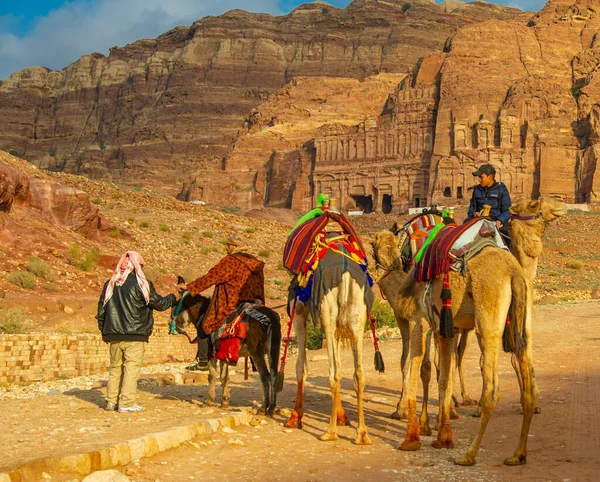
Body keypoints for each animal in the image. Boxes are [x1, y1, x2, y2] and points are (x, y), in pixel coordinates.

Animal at [284, 252, 372, 444]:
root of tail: (345, 277)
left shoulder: (299, 310)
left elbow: (301, 366)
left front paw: (295, 417)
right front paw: (342, 417)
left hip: (328, 315)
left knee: (333, 373)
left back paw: (330, 432)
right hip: (357, 316)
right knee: (357, 373)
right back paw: (362, 433)